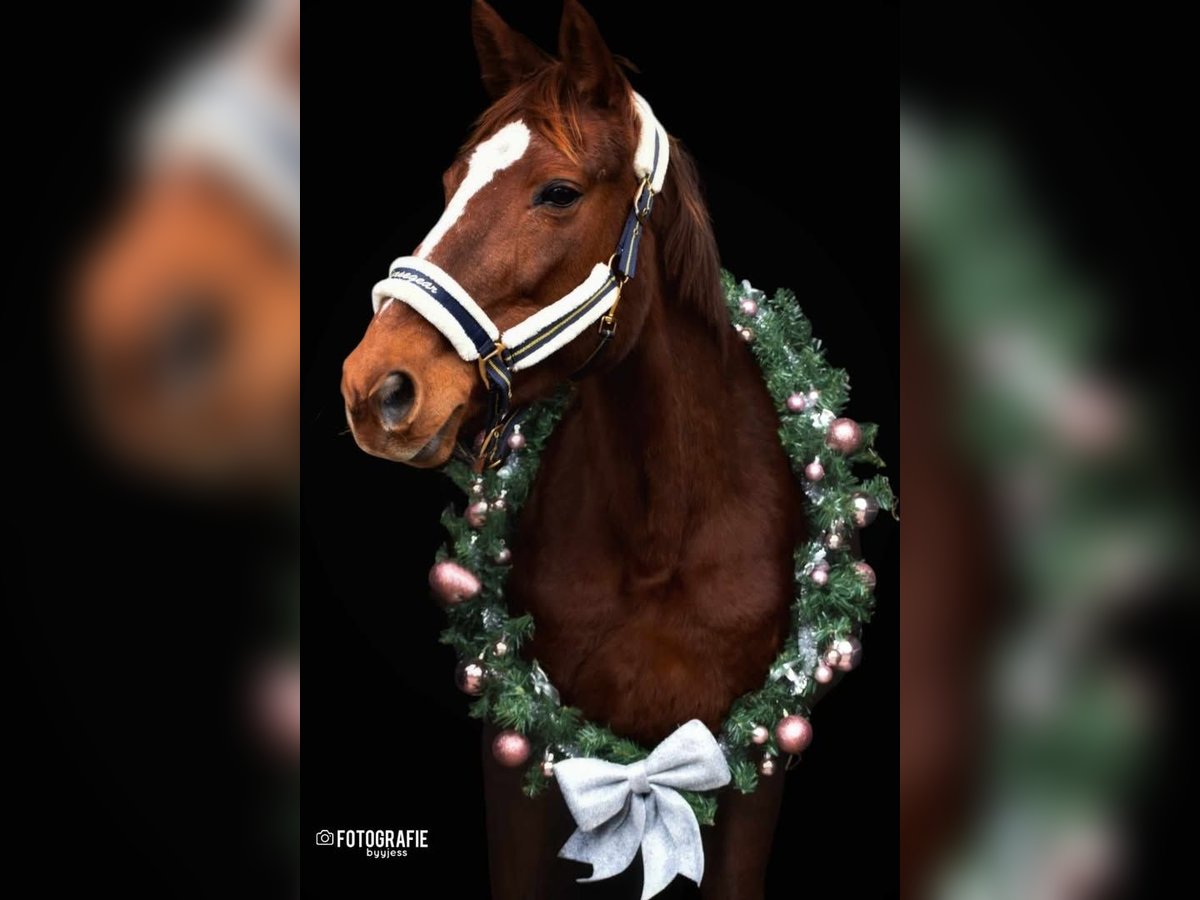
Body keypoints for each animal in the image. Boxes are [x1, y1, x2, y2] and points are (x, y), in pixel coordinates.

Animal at [343, 3, 801, 897]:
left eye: (558, 193)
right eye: (450, 184)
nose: (375, 386)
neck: (662, 539)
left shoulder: (758, 769)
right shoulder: (519, 757)